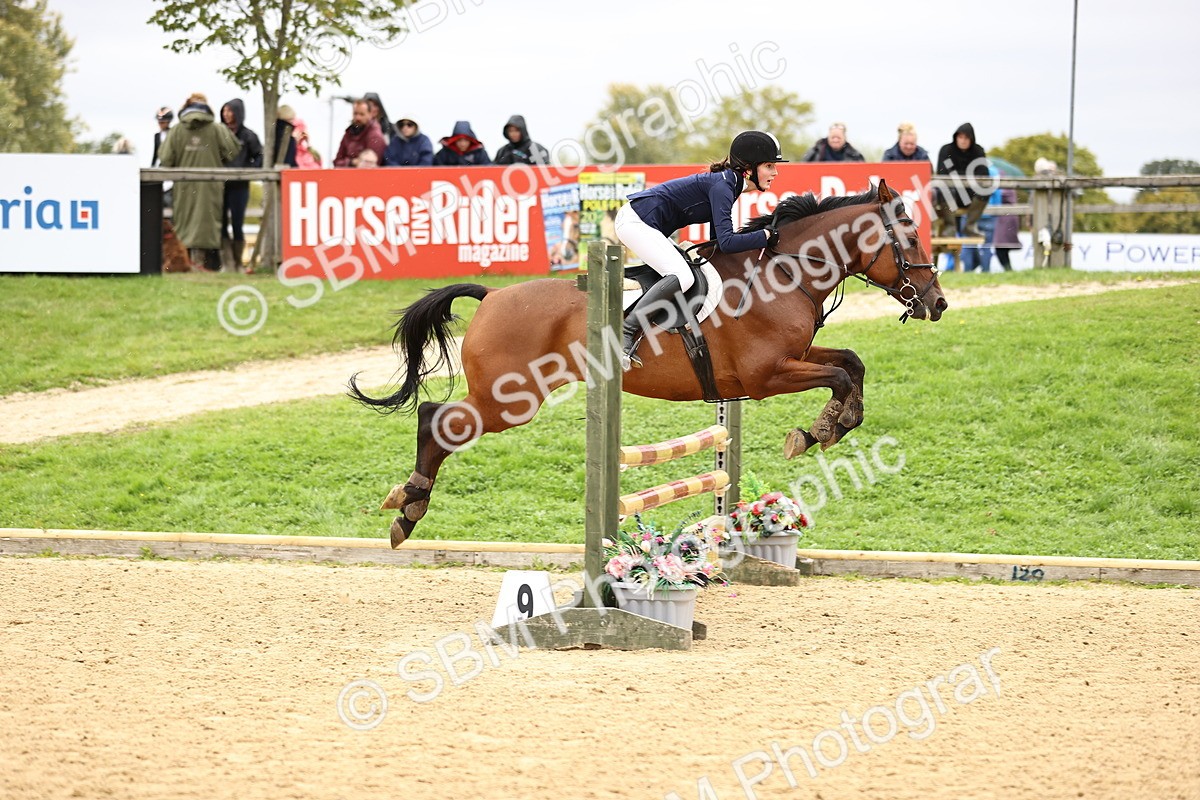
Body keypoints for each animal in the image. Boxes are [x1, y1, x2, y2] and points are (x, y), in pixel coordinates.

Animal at [349, 180, 947, 546]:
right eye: (911, 236)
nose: (938, 303)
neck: (784, 272)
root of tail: (492, 295)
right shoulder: (767, 374)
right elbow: (842, 374)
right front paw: (818, 430)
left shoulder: (794, 359)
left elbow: (852, 364)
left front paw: (829, 425)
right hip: (510, 399)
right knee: (436, 419)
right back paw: (408, 506)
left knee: (438, 421)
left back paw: (408, 508)